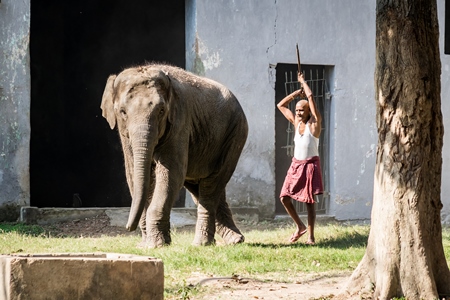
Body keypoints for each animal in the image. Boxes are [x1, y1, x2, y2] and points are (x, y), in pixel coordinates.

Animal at [100, 62, 248, 247]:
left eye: (162, 111)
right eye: (122, 112)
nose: (128, 228)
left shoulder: (180, 122)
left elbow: (171, 173)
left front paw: (156, 245)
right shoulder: (124, 134)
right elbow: (133, 175)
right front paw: (147, 245)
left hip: (235, 133)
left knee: (211, 185)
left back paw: (202, 243)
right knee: (202, 187)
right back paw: (234, 239)